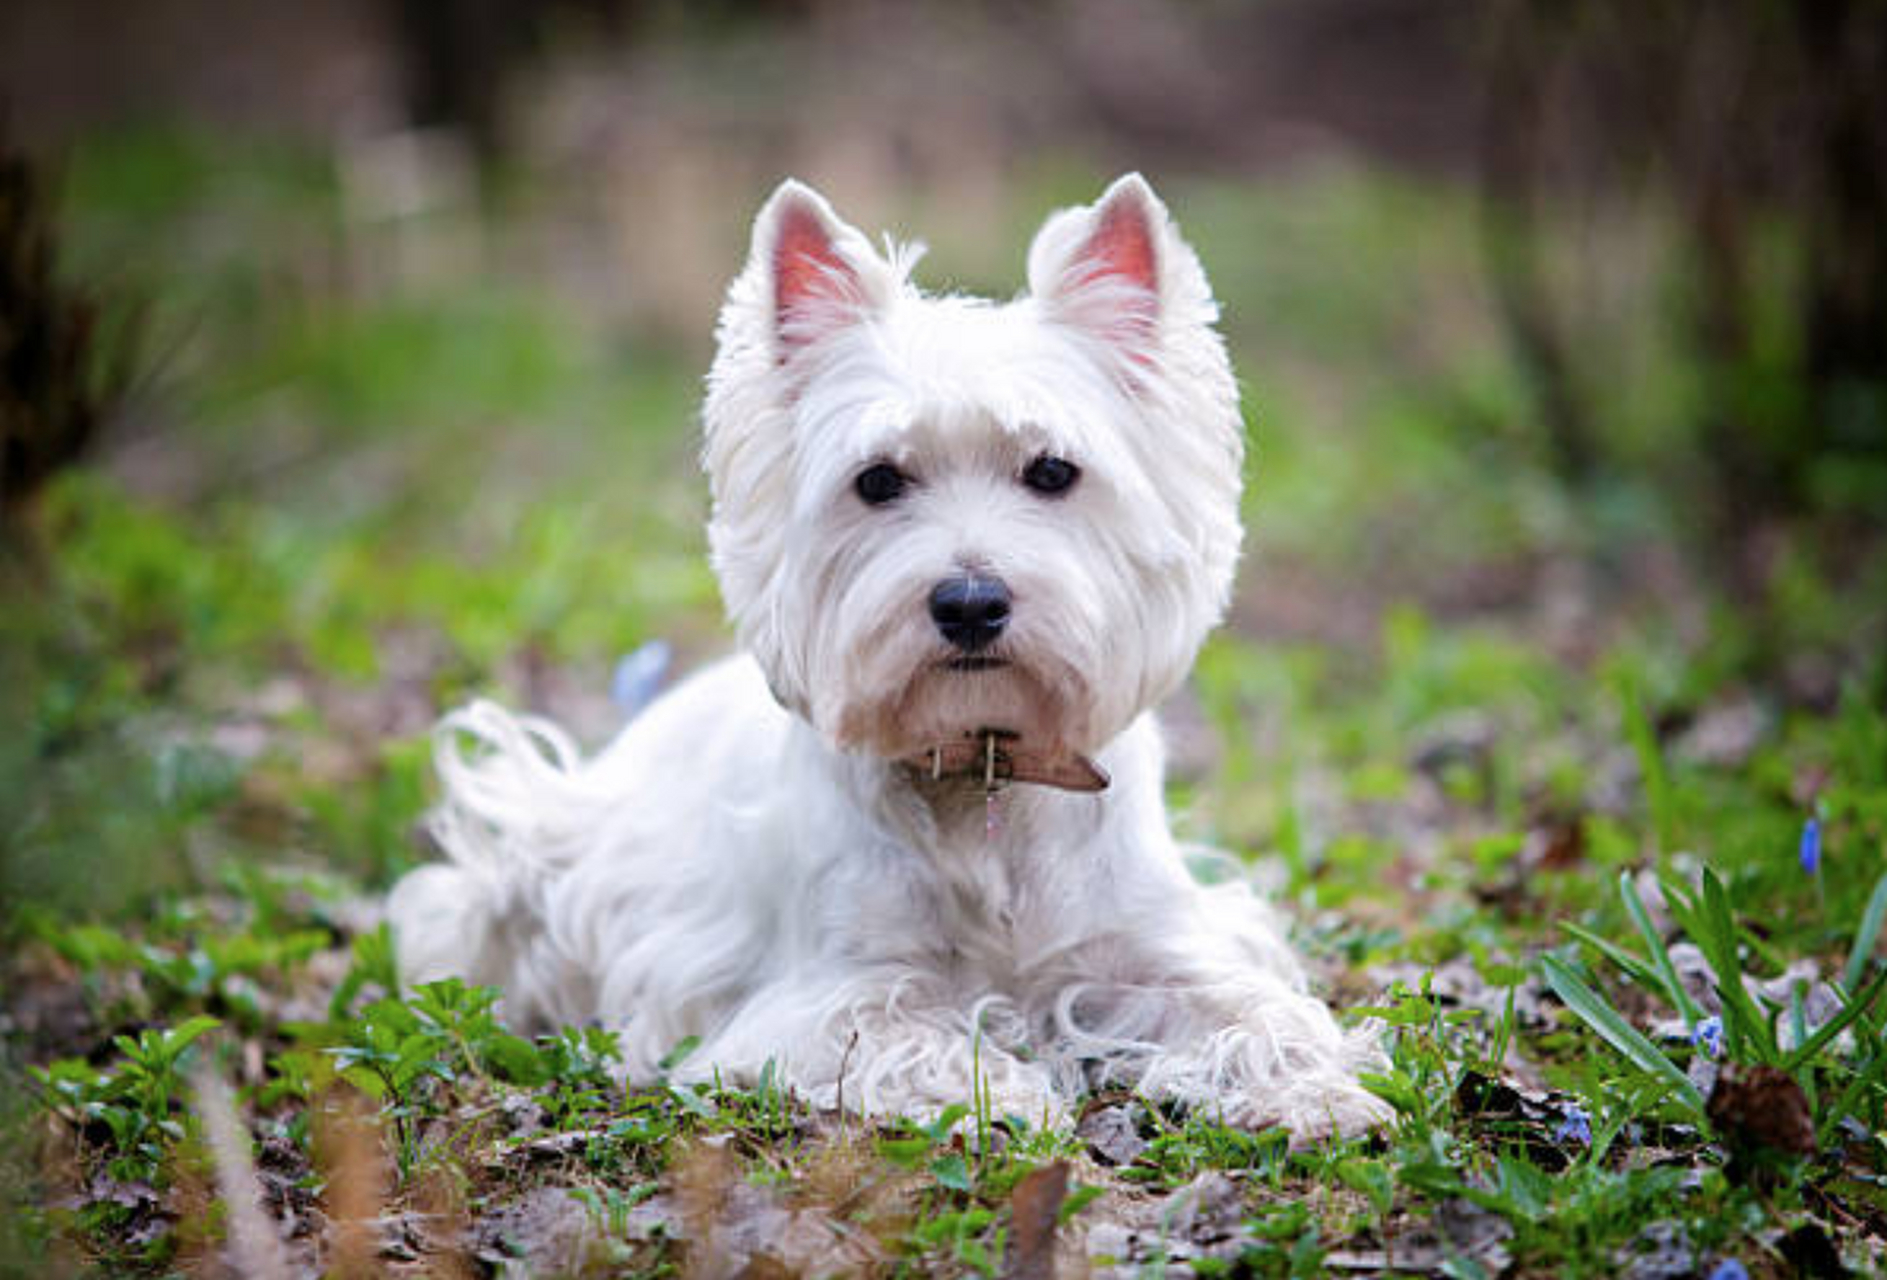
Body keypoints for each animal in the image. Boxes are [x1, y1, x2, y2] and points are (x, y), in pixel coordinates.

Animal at [386, 172, 1388, 1140]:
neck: (985, 775)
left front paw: (1316, 1092)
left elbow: (1255, 1009)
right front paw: (1004, 1094)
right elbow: (901, 1029)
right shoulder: (828, 989)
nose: (971, 603)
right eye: (876, 481)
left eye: (1052, 471)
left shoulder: (1152, 948)